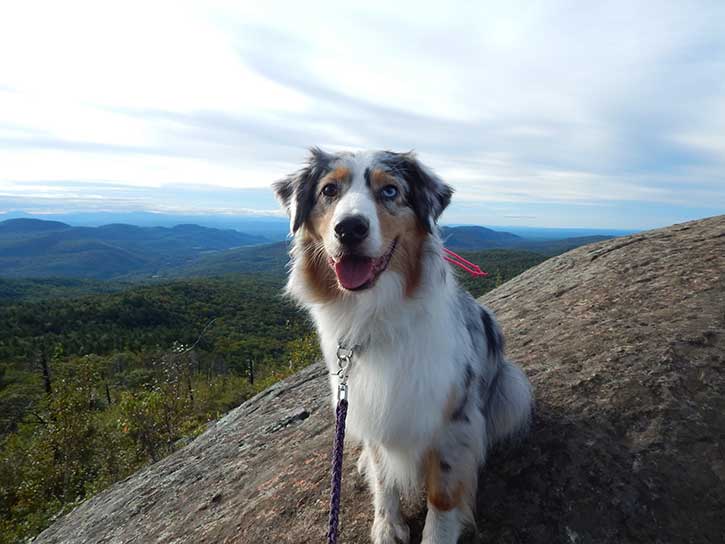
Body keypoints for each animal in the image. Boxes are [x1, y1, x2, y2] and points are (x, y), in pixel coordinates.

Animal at [272, 149, 532, 544]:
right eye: (329, 190)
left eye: (390, 191)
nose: (350, 229)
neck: (374, 314)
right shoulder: (370, 404)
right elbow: (384, 477)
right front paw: (387, 524)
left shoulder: (452, 419)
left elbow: (443, 494)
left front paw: (437, 535)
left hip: (512, 388)